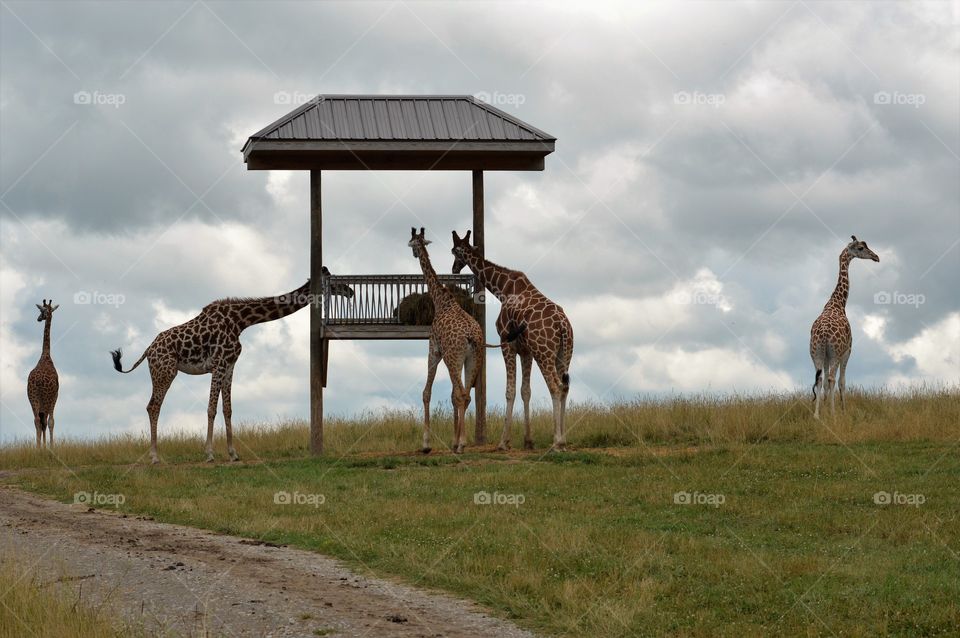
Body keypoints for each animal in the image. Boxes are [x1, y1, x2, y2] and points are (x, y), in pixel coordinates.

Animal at [109, 276, 352, 464]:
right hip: (165, 371)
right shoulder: (218, 364)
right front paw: (209, 454)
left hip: (162, 371)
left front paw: (233, 454)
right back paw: (155, 457)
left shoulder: (230, 365)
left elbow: (227, 409)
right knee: (153, 406)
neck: (241, 321)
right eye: (332, 282)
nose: (349, 292)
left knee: (153, 406)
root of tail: (149, 349)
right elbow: (211, 409)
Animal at [406, 229, 520, 456]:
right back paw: (460, 443)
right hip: (473, 359)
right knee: (465, 395)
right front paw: (452, 440)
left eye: (412, 242)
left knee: (461, 394)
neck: (441, 301)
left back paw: (461, 444)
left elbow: (426, 393)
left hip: (453, 358)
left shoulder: (434, 349)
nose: (413, 252)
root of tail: (472, 337)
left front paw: (426, 444)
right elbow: (452, 396)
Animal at [452, 232, 572, 452]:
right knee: (565, 387)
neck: (502, 289)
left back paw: (556, 442)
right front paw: (528, 441)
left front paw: (502, 442)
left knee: (555, 386)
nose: (454, 268)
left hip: (544, 353)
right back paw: (564, 440)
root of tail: (563, 326)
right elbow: (526, 391)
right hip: (564, 354)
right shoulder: (526, 351)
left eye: (454, 251)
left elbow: (510, 391)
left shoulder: (506, 343)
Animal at [808, 235, 876, 420]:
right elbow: (842, 382)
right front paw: (842, 410)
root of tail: (824, 334)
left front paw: (824, 408)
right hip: (835, 353)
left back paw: (816, 415)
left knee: (820, 379)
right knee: (832, 378)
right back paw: (833, 414)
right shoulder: (847, 350)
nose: (876, 257)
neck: (838, 303)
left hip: (816, 353)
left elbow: (824, 382)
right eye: (861, 248)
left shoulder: (826, 356)